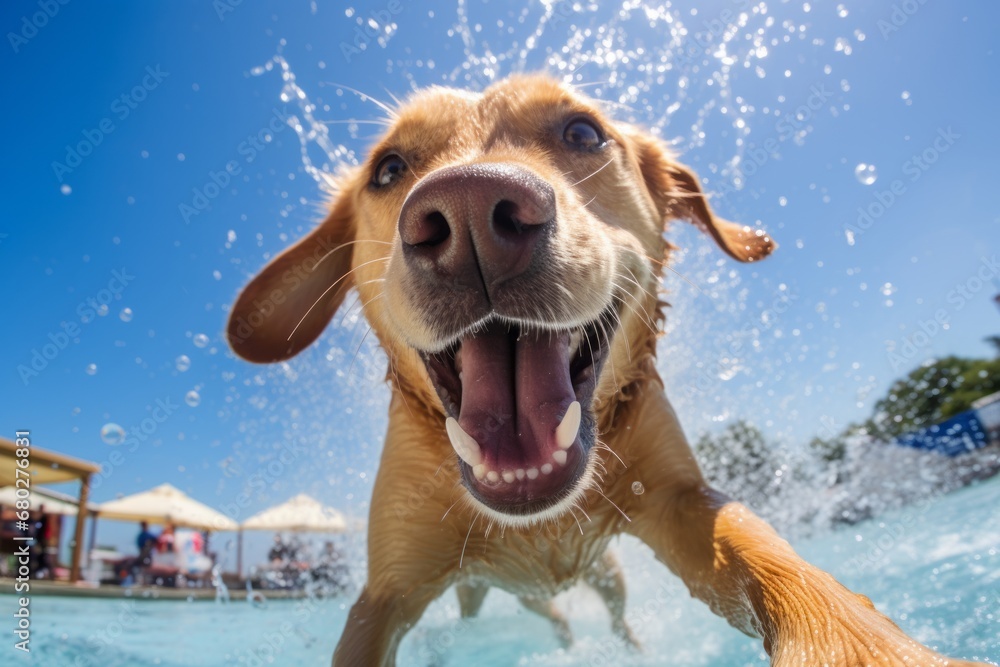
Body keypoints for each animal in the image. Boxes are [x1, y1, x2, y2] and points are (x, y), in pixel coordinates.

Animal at [227, 75, 984, 664]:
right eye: (387, 169)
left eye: (583, 131)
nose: (470, 210)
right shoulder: (385, 591)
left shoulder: (683, 501)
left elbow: (774, 559)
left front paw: (865, 645)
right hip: (504, 590)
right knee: (531, 611)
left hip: (609, 575)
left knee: (612, 614)